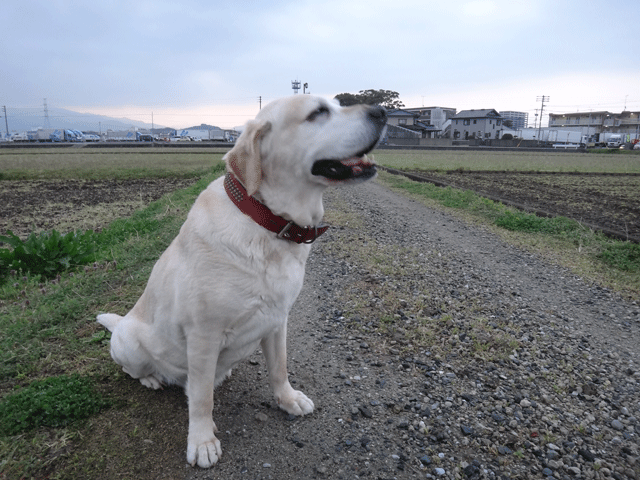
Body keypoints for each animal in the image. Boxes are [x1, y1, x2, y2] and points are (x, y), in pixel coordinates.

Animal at [95, 94, 384, 468]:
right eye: (318, 112)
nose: (382, 111)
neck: (268, 224)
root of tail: (121, 324)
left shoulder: (277, 320)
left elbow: (279, 368)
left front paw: (287, 399)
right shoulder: (203, 334)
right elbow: (201, 398)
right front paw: (202, 441)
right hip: (129, 341)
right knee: (137, 369)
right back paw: (152, 378)